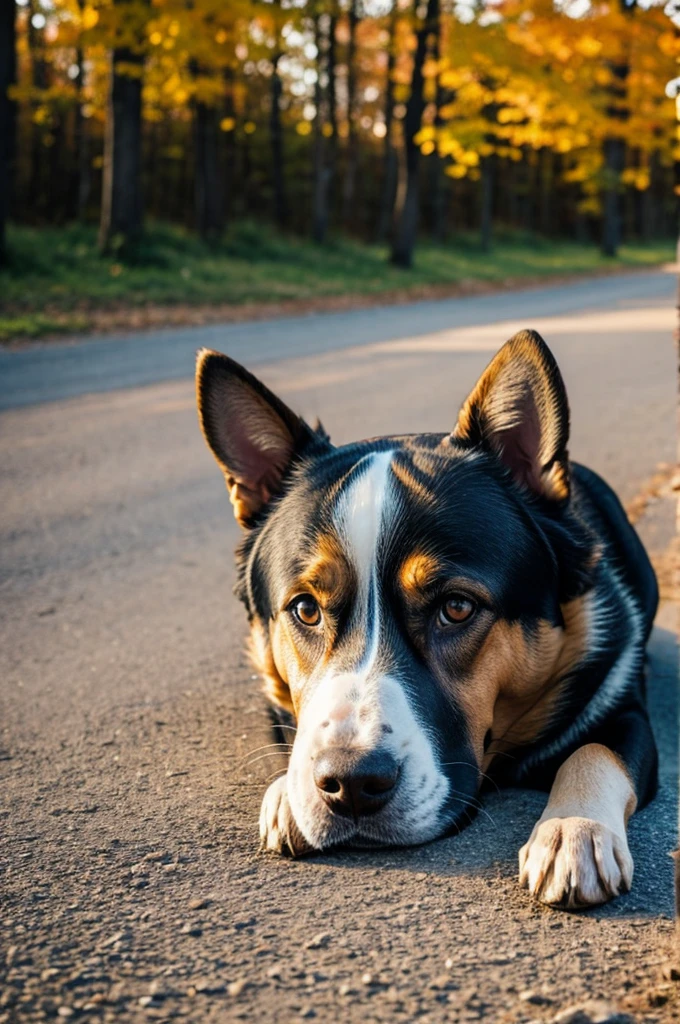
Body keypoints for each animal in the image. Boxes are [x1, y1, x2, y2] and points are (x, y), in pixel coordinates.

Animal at [196, 331, 659, 909]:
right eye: (305, 609)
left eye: (456, 607)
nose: (350, 784)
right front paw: (287, 792)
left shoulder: (626, 708)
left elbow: (594, 750)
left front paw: (574, 831)